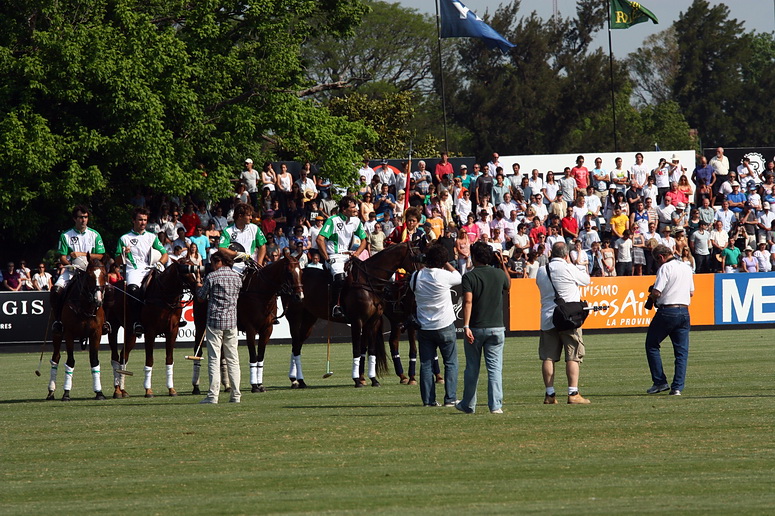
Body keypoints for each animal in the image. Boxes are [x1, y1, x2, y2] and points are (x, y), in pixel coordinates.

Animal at [46, 258, 107, 401]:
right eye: (89, 276)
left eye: (105, 275)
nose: (98, 300)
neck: (86, 307)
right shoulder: (69, 333)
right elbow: (70, 361)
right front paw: (66, 393)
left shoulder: (96, 333)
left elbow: (94, 361)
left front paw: (99, 392)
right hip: (57, 334)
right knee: (55, 358)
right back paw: (51, 391)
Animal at [106, 259, 200, 398]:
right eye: (185, 272)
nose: (199, 288)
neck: (165, 297)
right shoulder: (150, 332)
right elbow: (149, 360)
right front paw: (148, 390)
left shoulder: (172, 331)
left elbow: (169, 359)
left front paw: (171, 389)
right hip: (113, 327)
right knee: (115, 357)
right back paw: (117, 390)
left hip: (130, 332)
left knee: (124, 356)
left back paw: (123, 390)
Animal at [190, 250, 304, 394]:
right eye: (289, 272)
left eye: (301, 271)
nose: (299, 296)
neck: (262, 293)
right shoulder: (251, 329)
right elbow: (253, 356)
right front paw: (254, 386)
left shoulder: (267, 329)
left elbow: (260, 357)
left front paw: (260, 384)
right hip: (200, 325)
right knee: (197, 351)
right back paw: (196, 386)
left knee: (222, 354)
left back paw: (227, 386)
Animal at [282, 242, 421, 388]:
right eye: (416, 257)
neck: (369, 281)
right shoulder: (357, 321)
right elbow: (357, 349)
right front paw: (357, 380)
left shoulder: (373, 321)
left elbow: (371, 350)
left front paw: (374, 380)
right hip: (295, 317)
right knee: (295, 344)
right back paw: (296, 379)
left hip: (309, 318)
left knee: (297, 345)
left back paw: (298, 380)